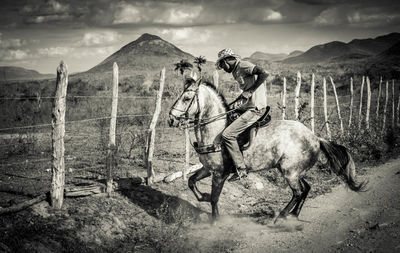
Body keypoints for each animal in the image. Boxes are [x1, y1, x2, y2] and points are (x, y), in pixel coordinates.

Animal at [167, 77, 368, 223]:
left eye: (186, 98)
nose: (170, 119)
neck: (215, 131)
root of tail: (315, 138)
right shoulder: (208, 169)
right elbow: (191, 181)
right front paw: (204, 196)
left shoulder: (219, 174)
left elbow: (215, 198)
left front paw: (215, 221)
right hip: (293, 171)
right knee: (306, 188)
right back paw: (293, 215)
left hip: (290, 172)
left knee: (297, 192)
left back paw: (281, 216)